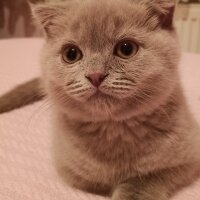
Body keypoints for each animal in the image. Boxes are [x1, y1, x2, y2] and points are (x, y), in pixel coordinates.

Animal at [1, 0, 200, 200]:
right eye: (71, 54)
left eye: (126, 49)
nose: (95, 75)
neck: (113, 132)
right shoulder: (72, 171)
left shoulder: (187, 159)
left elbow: (145, 180)